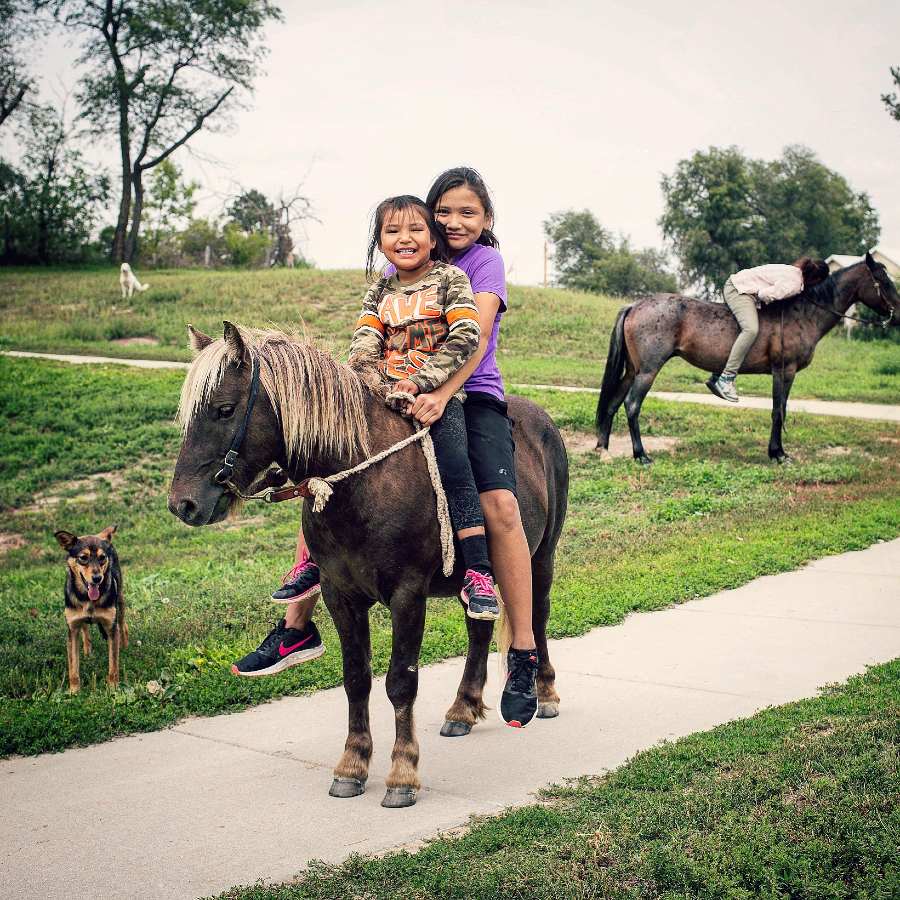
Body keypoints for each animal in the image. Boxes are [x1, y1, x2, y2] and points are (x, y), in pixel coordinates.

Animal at [54, 524, 127, 692]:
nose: (97, 578)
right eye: (83, 558)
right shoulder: (72, 629)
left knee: (122, 624)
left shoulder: (111, 627)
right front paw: (74, 691)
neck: (88, 599)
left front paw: (113, 688)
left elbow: (113, 665)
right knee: (85, 629)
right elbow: (73, 667)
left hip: (120, 600)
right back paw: (87, 652)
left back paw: (125, 645)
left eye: (102, 557)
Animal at [165, 322, 568, 808]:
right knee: (479, 629)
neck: (363, 479)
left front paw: (402, 773)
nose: (183, 504)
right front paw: (352, 765)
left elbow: (400, 682)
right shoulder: (341, 595)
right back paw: (463, 708)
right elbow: (356, 678)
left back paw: (539, 692)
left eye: (224, 410)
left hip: (540, 557)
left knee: (536, 616)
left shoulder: (408, 596)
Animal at [596, 255, 896, 460]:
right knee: (632, 405)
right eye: (883, 281)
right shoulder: (784, 371)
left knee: (612, 403)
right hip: (648, 371)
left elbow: (779, 410)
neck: (804, 313)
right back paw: (641, 455)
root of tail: (635, 305)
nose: (897, 313)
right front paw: (778, 453)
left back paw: (604, 448)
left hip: (633, 370)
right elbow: (778, 411)